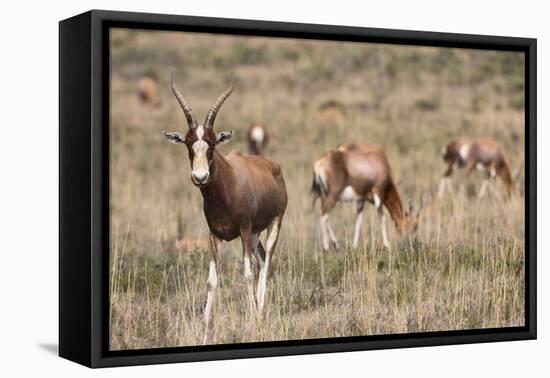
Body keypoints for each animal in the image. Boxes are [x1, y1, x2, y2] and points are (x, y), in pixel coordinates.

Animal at [163, 71, 288, 342]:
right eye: (188, 144)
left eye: (211, 144)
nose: (200, 177)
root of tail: (272, 166)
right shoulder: (214, 235)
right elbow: (212, 280)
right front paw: (204, 327)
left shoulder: (243, 230)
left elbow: (247, 274)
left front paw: (252, 323)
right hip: (255, 235)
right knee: (262, 260)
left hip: (272, 224)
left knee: (266, 264)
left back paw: (259, 314)